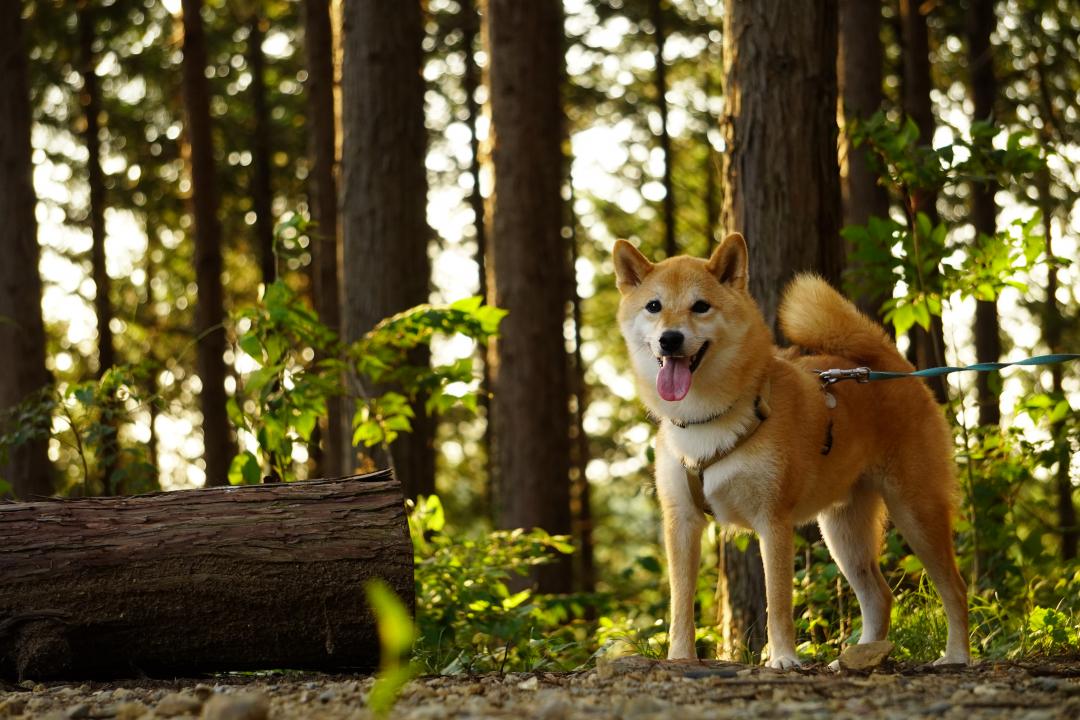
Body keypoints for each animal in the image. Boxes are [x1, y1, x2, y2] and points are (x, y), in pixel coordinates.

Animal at [617, 235, 972, 669]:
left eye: (700, 306)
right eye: (654, 306)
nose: (670, 338)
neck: (708, 418)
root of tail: (888, 365)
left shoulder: (773, 521)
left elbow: (779, 601)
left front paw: (783, 658)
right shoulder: (682, 521)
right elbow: (681, 603)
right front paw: (681, 658)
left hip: (916, 511)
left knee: (954, 589)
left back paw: (956, 655)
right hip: (843, 531)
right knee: (879, 596)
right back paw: (856, 658)